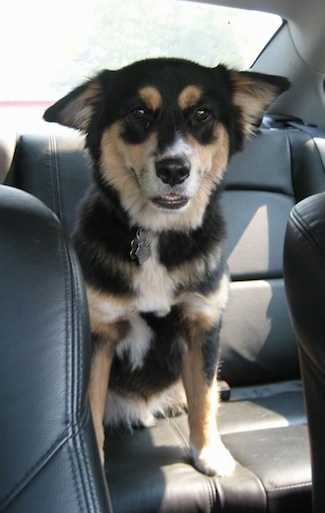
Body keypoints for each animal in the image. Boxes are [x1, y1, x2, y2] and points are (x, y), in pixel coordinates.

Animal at [43, 57, 288, 476]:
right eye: (139, 113)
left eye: (202, 113)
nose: (174, 170)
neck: (156, 235)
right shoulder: (100, 332)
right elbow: (90, 407)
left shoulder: (201, 325)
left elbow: (203, 398)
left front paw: (208, 451)